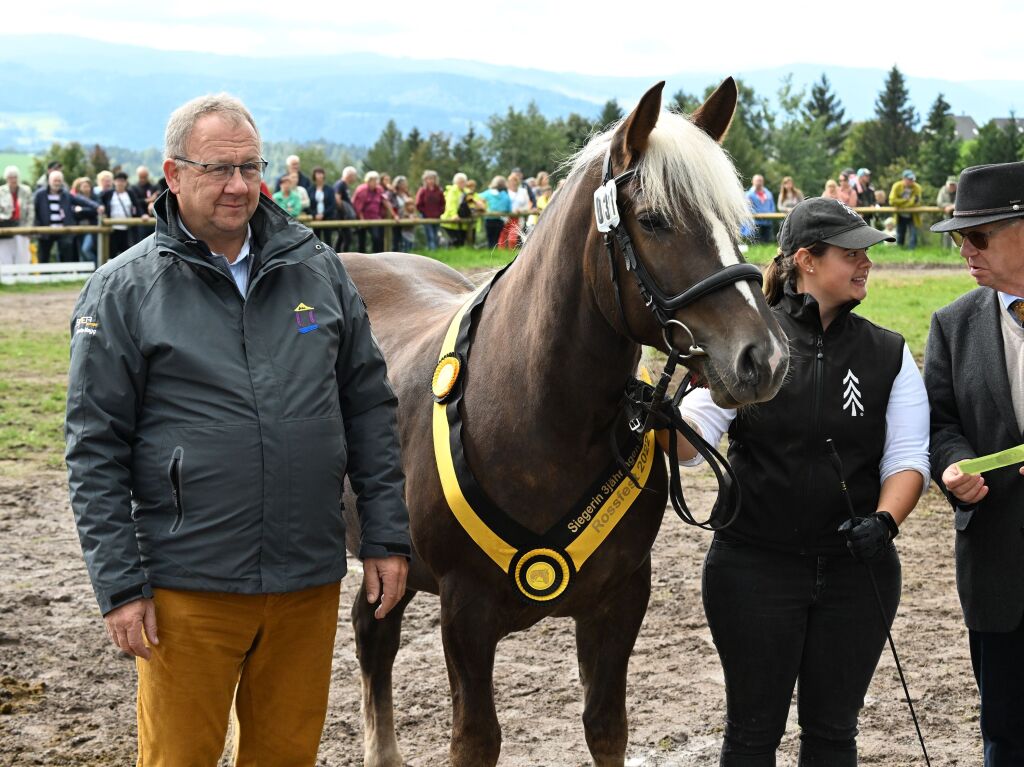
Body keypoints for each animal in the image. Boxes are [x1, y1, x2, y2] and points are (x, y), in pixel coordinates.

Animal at [339, 79, 786, 765]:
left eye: (735, 219)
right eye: (654, 220)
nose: (763, 358)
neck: (537, 419)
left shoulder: (619, 600)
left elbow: (606, 725)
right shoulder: (465, 614)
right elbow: (475, 739)